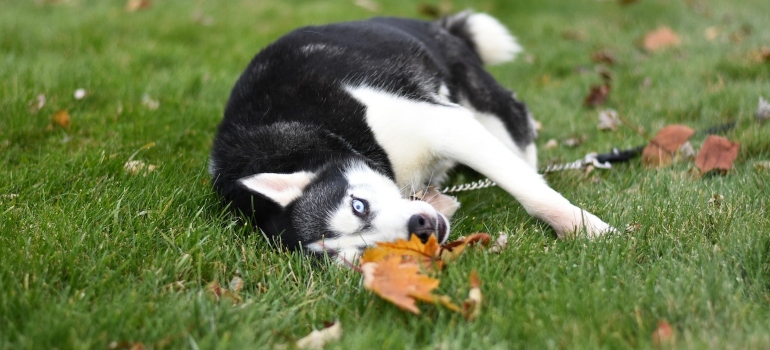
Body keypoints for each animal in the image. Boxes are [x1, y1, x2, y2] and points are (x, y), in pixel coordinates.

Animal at [208, 11, 612, 262]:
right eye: (365, 252)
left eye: (358, 205)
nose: (420, 228)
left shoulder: (444, 122)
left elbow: (530, 191)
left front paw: (584, 228)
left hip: (473, 91)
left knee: (516, 123)